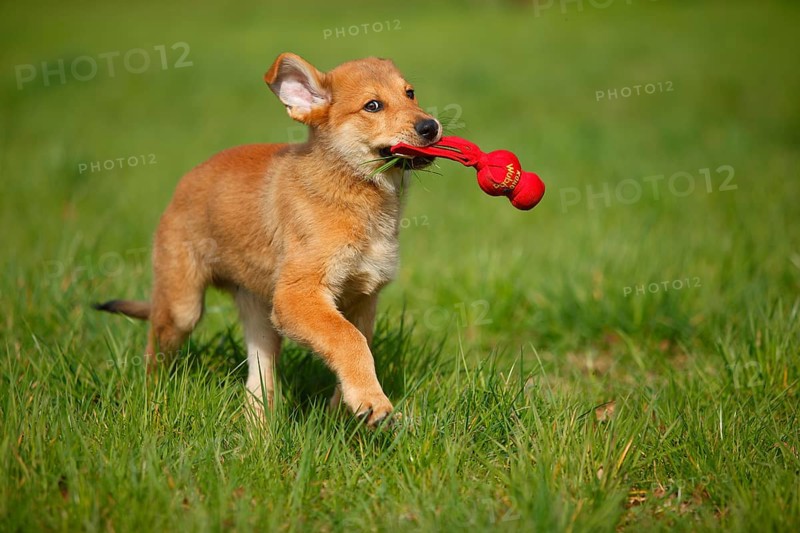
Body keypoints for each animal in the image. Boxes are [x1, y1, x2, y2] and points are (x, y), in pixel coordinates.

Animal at [94, 53, 441, 427]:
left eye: (410, 93)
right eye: (372, 105)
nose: (431, 126)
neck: (353, 191)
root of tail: (184, 182)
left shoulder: (363, 296)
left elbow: (356, 346)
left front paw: (347, 409)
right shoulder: (298, 295)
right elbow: (349, 340)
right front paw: (372, 401)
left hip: (262, 316)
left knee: (258, 382)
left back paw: (258, 430)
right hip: (182, 306)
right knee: (154, 353)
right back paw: (152, 401)